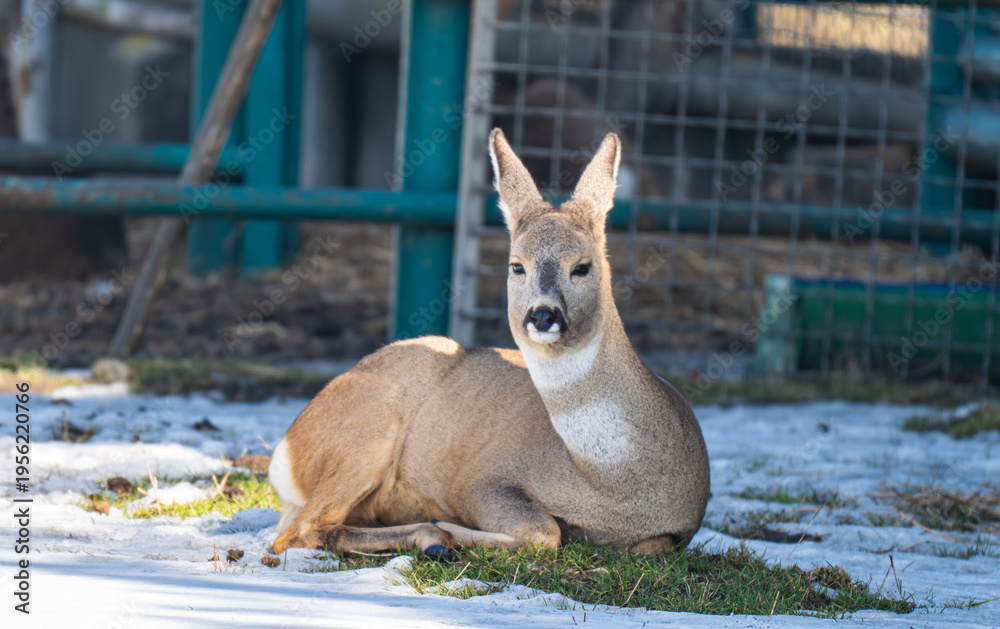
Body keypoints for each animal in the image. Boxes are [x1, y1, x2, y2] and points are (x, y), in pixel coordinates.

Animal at [268, 129, 710, 560]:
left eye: (582, 267)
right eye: (517, 265)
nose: (543, 314)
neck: (611, 484)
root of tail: (284, 453)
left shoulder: (679, 531)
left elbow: (648, 546)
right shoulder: (479, 481)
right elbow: (545, 532)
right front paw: (449, 527)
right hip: (371, 427)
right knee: (296, 532)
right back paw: (434, 538)